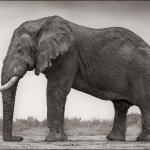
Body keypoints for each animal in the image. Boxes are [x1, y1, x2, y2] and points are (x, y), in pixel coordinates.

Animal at [0, 15, 150, 142]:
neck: (40, 23)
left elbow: (55, 90)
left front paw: (52, 140)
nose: (18, 138)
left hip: (142, 74)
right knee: (120, 105)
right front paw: (62, 138)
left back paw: (142, 139)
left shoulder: (67, 55)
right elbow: (59, 93)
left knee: (145, 105)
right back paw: (114, 139)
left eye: (20, 50)